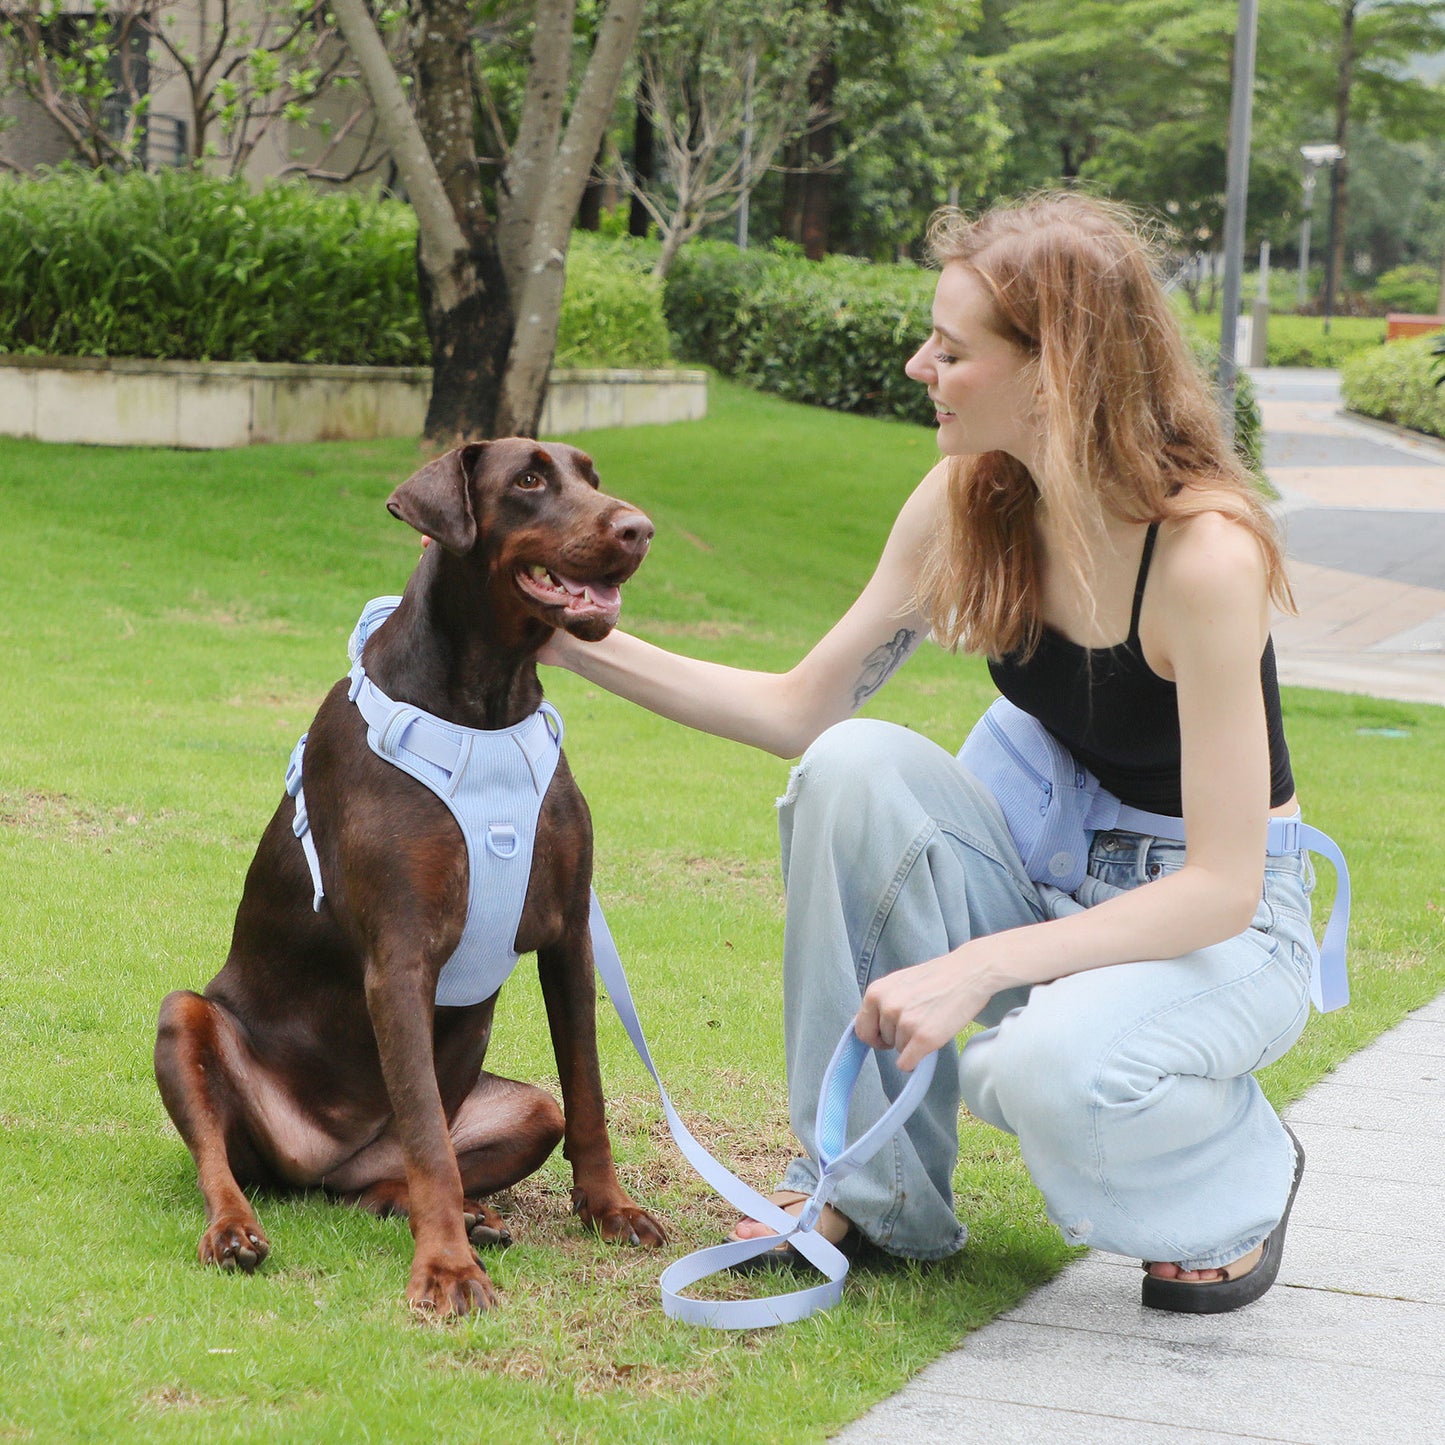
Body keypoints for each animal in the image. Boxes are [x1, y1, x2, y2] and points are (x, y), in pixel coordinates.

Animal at [153, 433, 664, 1317]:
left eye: (592, 476)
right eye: (529, 478)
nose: (638, 529)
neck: (485, 707)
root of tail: (323, 1159)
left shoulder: (568, 933)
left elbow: (587, 1091)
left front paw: (609, 1209)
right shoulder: (400, 955)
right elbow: (429, 1136)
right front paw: (447, 1270)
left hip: (511, 1110)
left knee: (399, 1175)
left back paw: (462, 1211)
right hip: (186, 1020)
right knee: (225, 1162)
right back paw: (239, 1230)